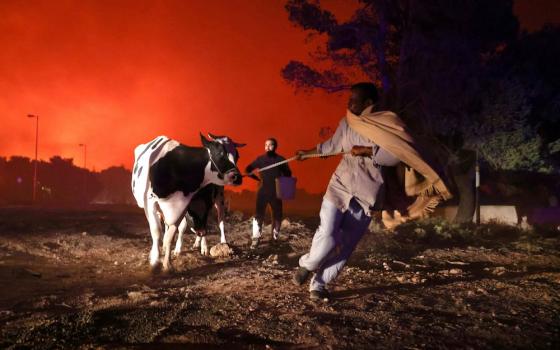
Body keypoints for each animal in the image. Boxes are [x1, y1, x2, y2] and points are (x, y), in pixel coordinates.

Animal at [133, 133, 245, 272]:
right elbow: (157, 232)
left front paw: (167, 264)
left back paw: (220, 243)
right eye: (220, 153)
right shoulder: (150, 203)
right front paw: (154, 260)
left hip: (219, 197)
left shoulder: (183, 206)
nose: (237, 177)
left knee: (220, 220)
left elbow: (172, 234)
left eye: (237, 155)